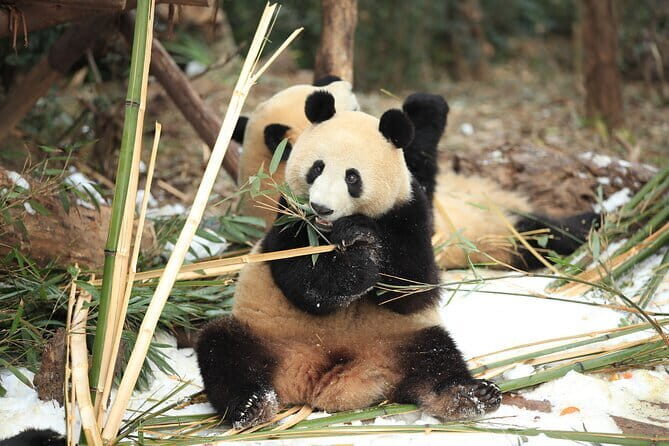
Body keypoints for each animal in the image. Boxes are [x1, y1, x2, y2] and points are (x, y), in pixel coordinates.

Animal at [196, 91, 502, 429]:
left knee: (437, 357)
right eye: (316, 168)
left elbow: (415, 288)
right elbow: (303, 282)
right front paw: (358, 259)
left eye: (352, 177)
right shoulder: (289, 215)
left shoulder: (410, 213)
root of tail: (323, 379)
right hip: (264, 335)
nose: (321, 207)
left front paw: (367, 242)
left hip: (403, 339)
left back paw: (469, 397)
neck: (332, 229)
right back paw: (250, 405)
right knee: (222, 349)